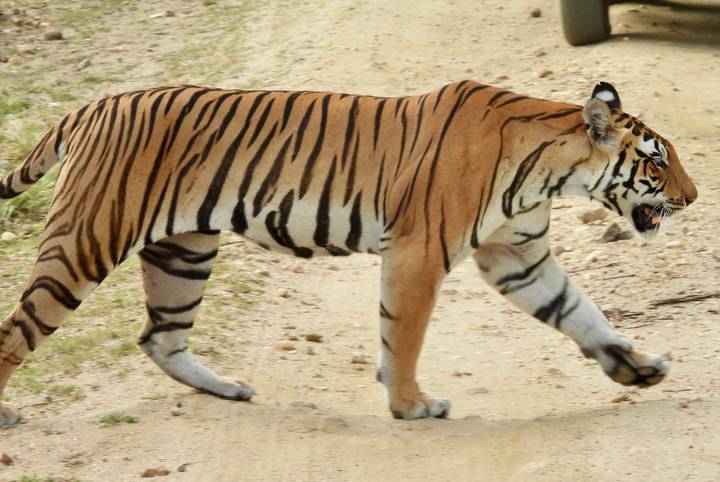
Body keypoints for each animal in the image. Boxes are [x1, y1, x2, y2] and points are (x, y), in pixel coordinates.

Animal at [0, 80, 697, 426]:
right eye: (658, 161)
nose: (692, 198)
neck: (553, 167)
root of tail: (93, 106)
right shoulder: (418, 252)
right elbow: (405, 333)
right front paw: (411, 405)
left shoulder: (518, 256)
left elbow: (582, 313)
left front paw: (639, 368)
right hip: (85, 243)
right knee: (18, 332)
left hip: (184, 251)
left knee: (160, 338)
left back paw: (229, 390)